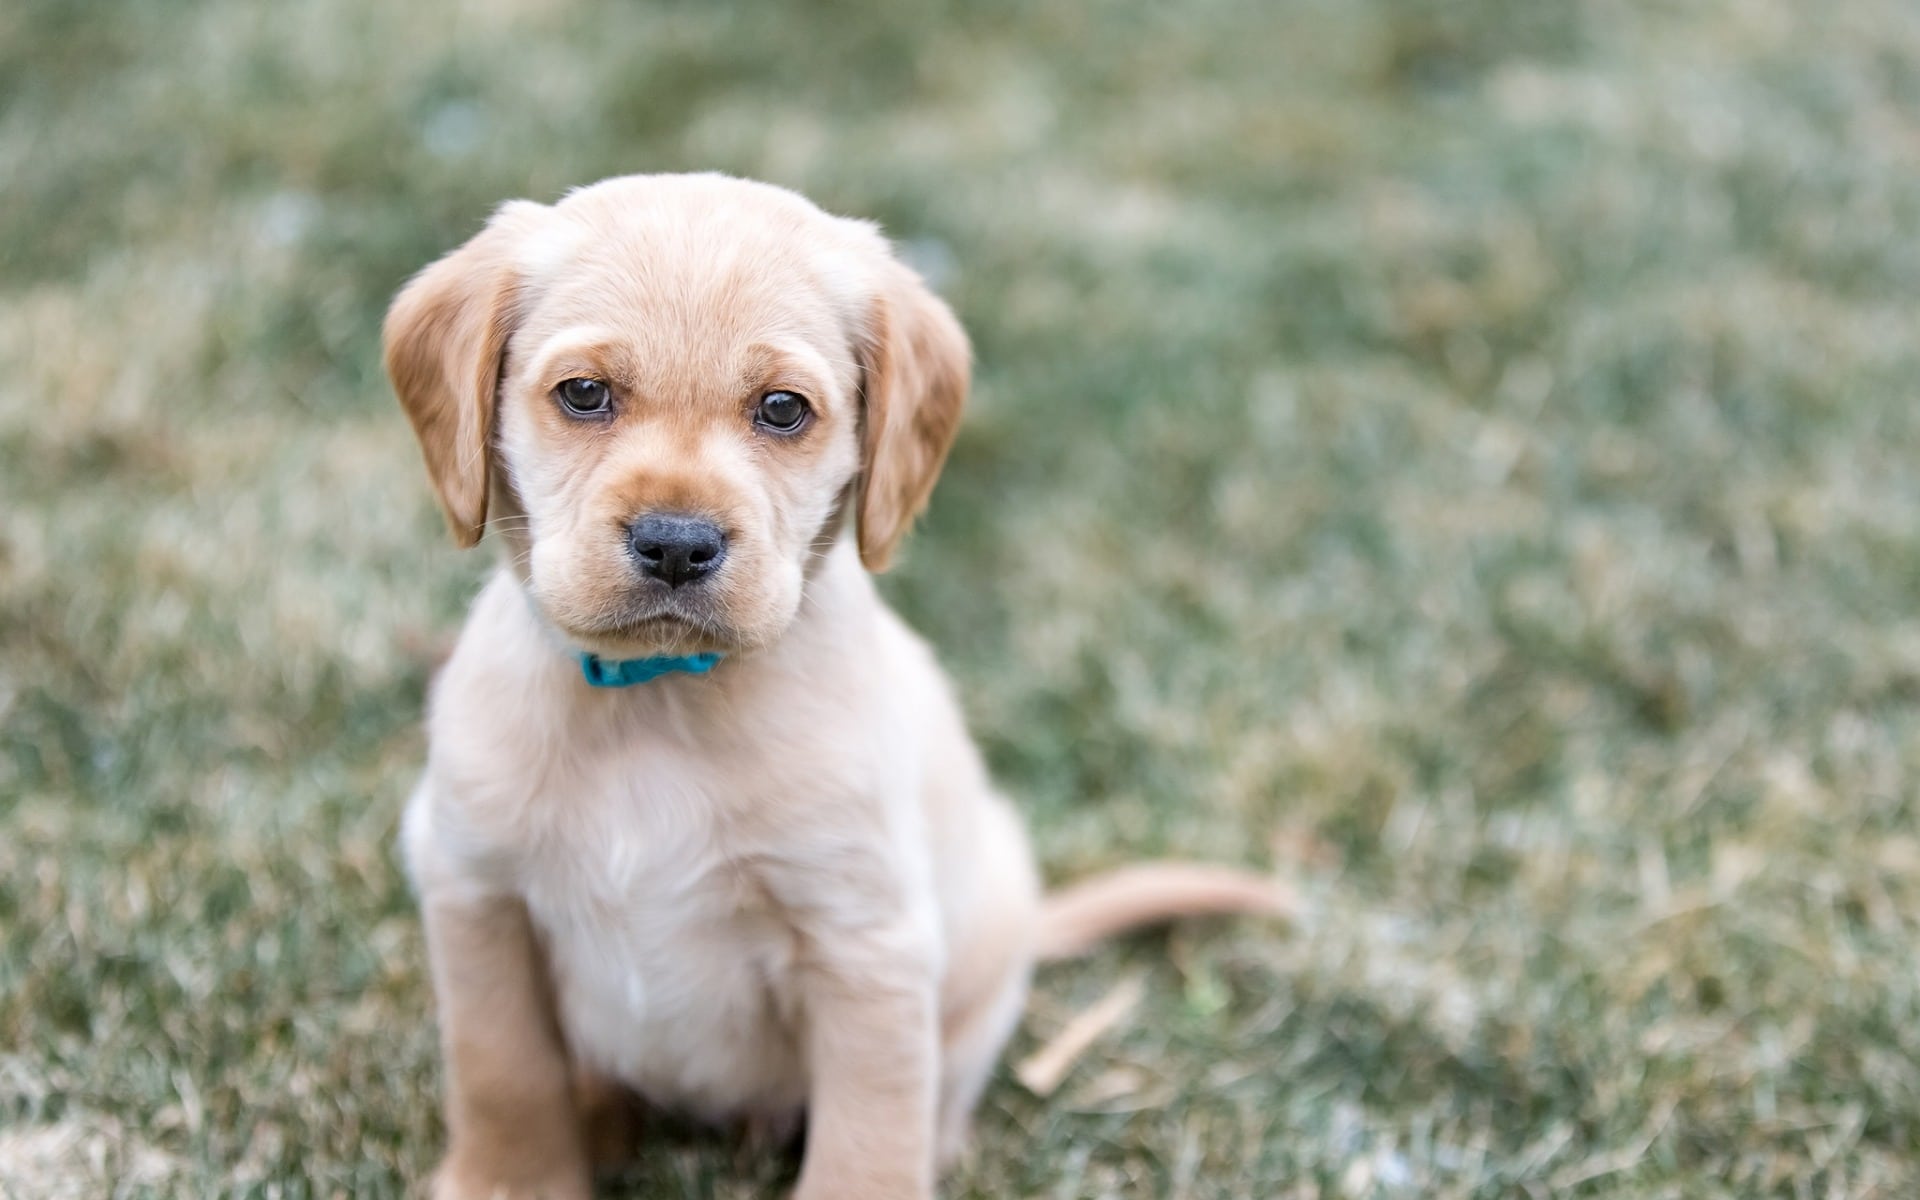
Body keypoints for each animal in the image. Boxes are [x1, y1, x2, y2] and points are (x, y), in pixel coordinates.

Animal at [385, 170, 1290, 1198]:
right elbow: (501, 1069)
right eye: (583, 394)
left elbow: (868, 1135)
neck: (659, 700)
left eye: (782, 409)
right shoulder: (473, 892)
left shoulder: (868, 945)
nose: (676, 545)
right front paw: (509, 1178)